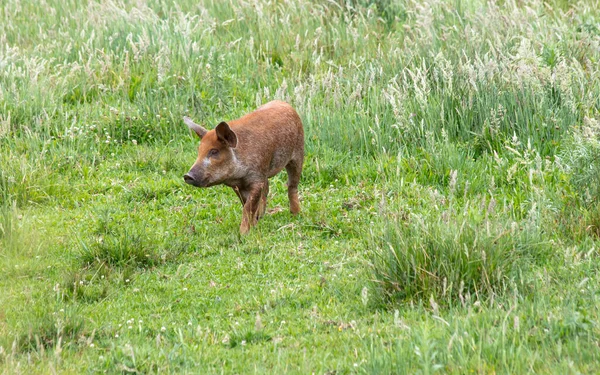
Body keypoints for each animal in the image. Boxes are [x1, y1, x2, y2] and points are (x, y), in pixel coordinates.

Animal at [182, 101, 304, 234]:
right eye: (199, 151)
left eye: (214, 151)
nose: (187, 176)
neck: (238, 175)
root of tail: (285, 103)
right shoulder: (238, 185)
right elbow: (245, 203)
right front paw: (254, 225)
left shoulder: (257, 178)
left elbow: (248, 207)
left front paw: (243, 233)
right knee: (267, 187)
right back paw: (261, 216)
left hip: (298, 154)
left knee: (292, 185)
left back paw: (295, 214)